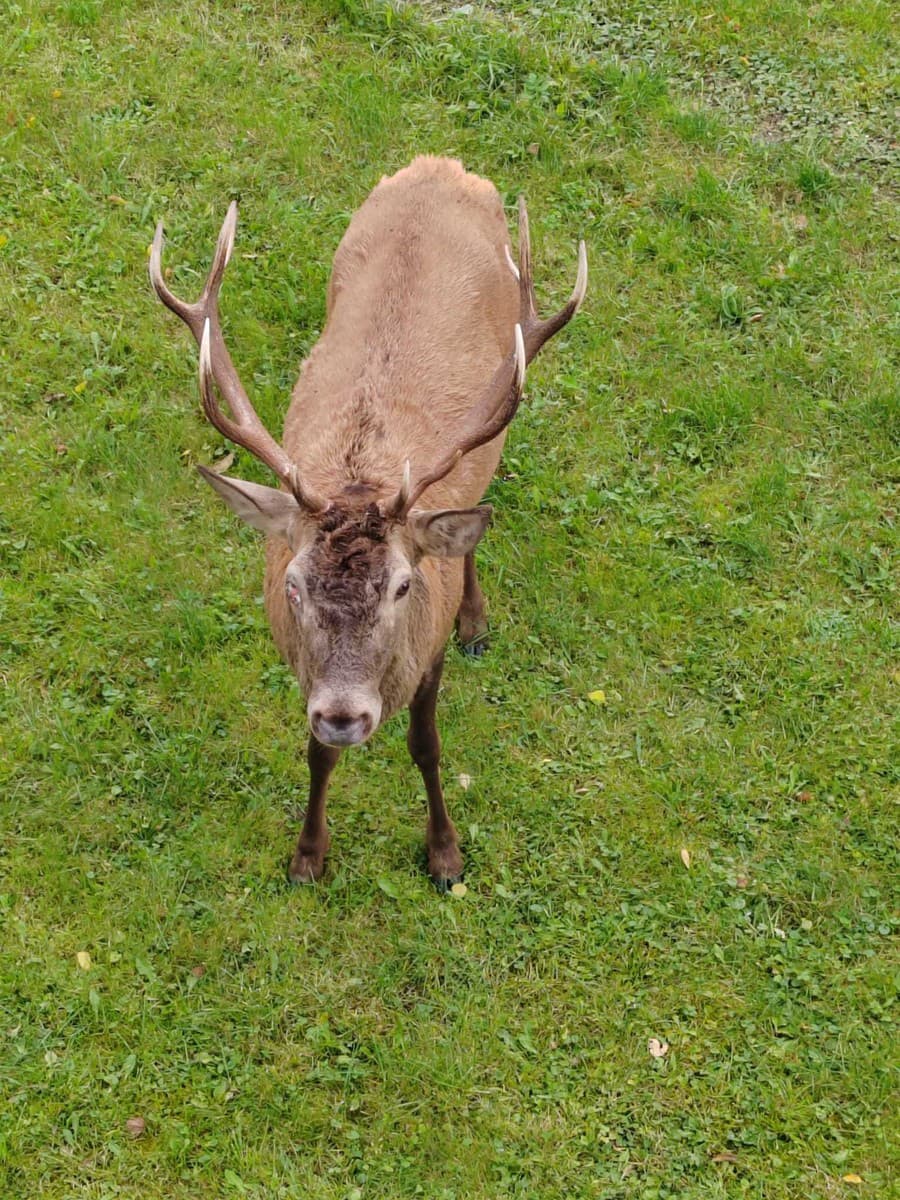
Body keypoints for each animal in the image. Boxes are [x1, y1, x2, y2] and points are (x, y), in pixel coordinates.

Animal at [150, 157, 585, 892]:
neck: (364, 476)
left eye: (403, 586)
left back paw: (476, 620)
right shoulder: (302, 668)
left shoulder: (427, 646)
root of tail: (442, 163)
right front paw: (308, 856)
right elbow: (314, 756)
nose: (345, 715)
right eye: (293, 585)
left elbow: (427, 745)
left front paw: (445, 856)